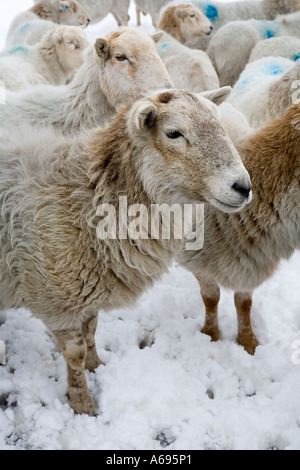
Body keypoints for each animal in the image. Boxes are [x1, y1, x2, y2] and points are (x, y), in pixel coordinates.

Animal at [0, 86, 253, 414]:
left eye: (221, 125)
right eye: (174, 133)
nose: (243, 187)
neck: (87, 197)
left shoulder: (87, 292)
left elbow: (91, 331)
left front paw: (97, 366)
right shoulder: (56, 301)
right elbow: (75, 353)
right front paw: (83, 402)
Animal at [178, 101, 300, 354]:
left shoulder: (251, 264)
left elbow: (244, 305)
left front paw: (248, 343)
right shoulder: (197, 263)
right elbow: (211, 298)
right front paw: (211, 334)